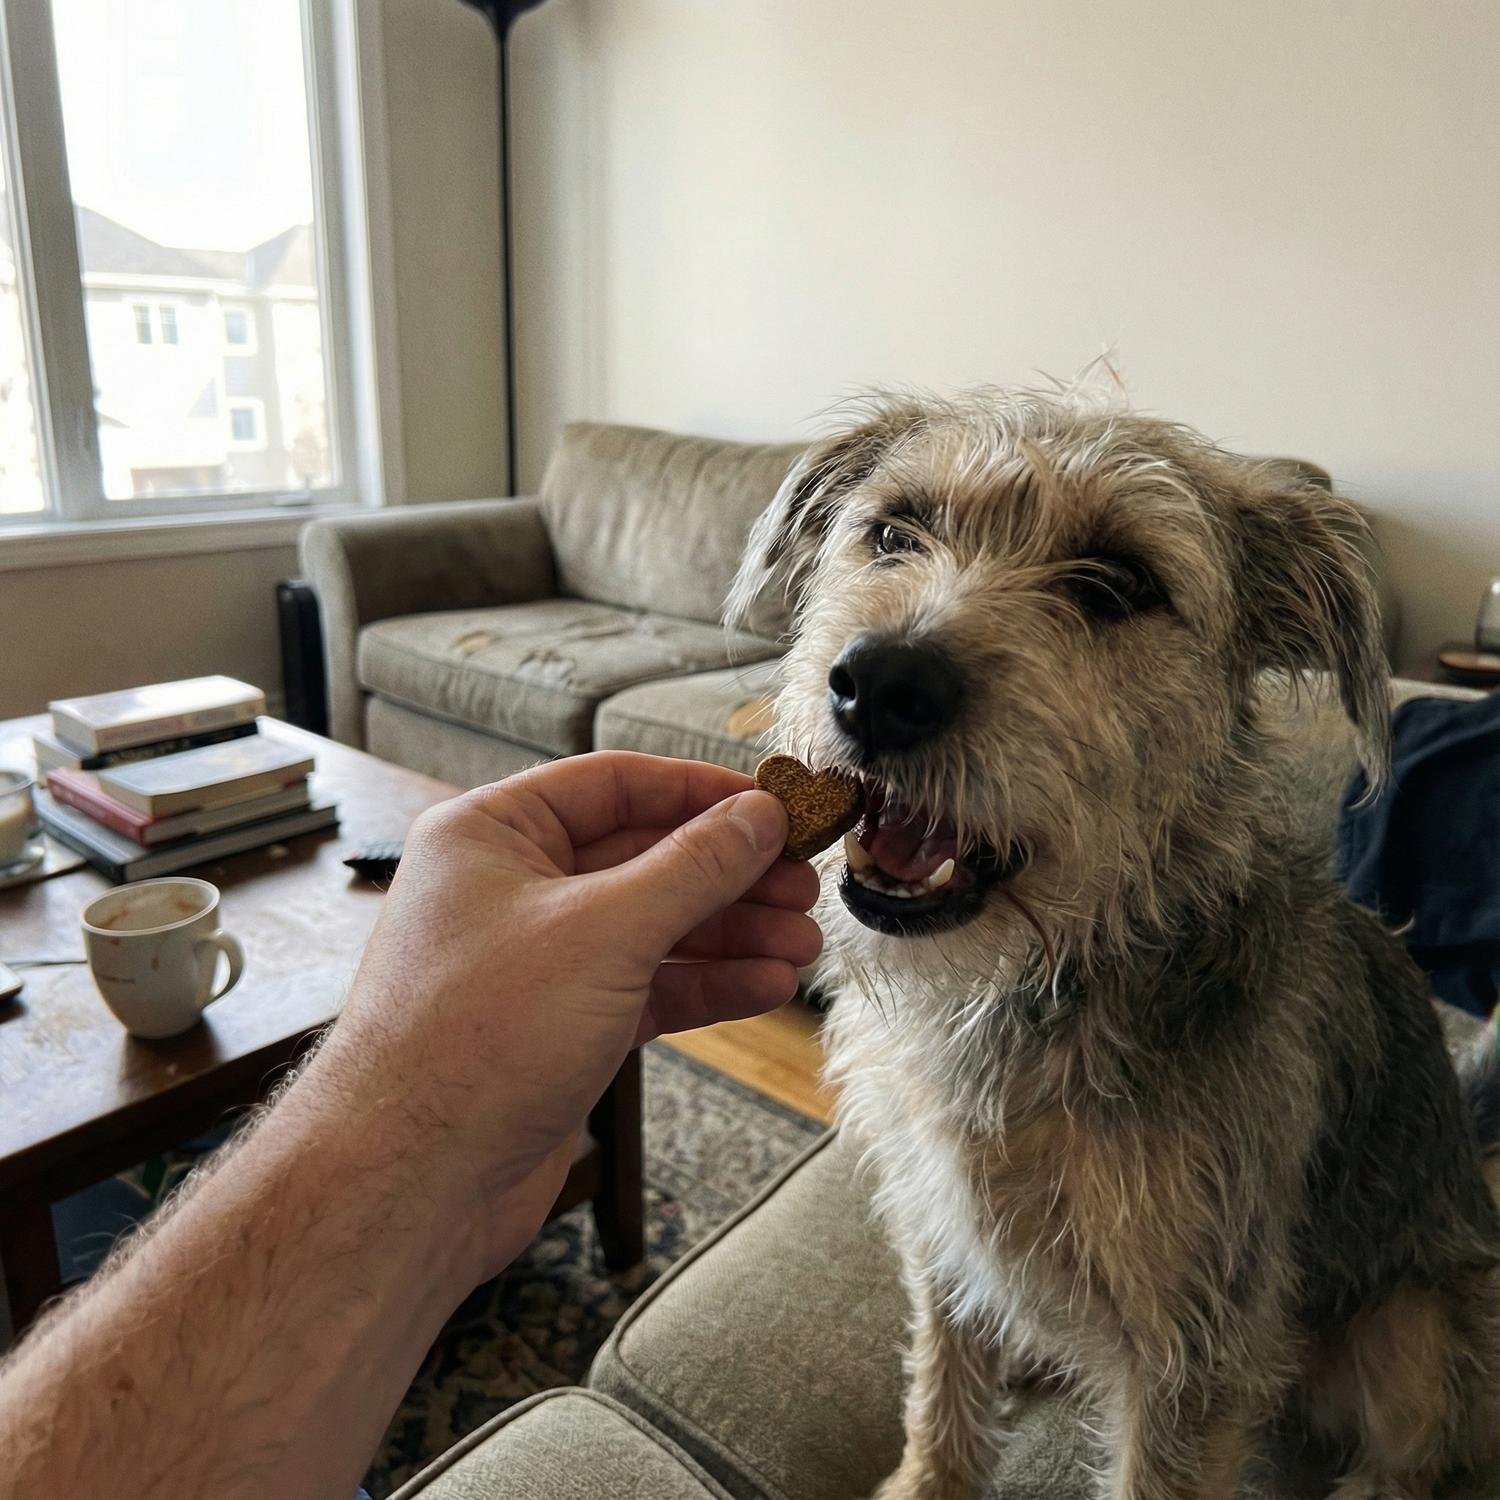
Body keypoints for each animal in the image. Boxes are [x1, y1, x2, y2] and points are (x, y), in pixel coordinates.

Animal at [728, 388, 1500, 1499]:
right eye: (894, 532)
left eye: (1121, 582)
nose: (878, 683)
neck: (1031, 985)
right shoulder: (937, 1224)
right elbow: (942, 1381)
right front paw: (928, 1477)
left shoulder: (1197, 1351)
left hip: (1417, 1333)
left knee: (1411, 1455)